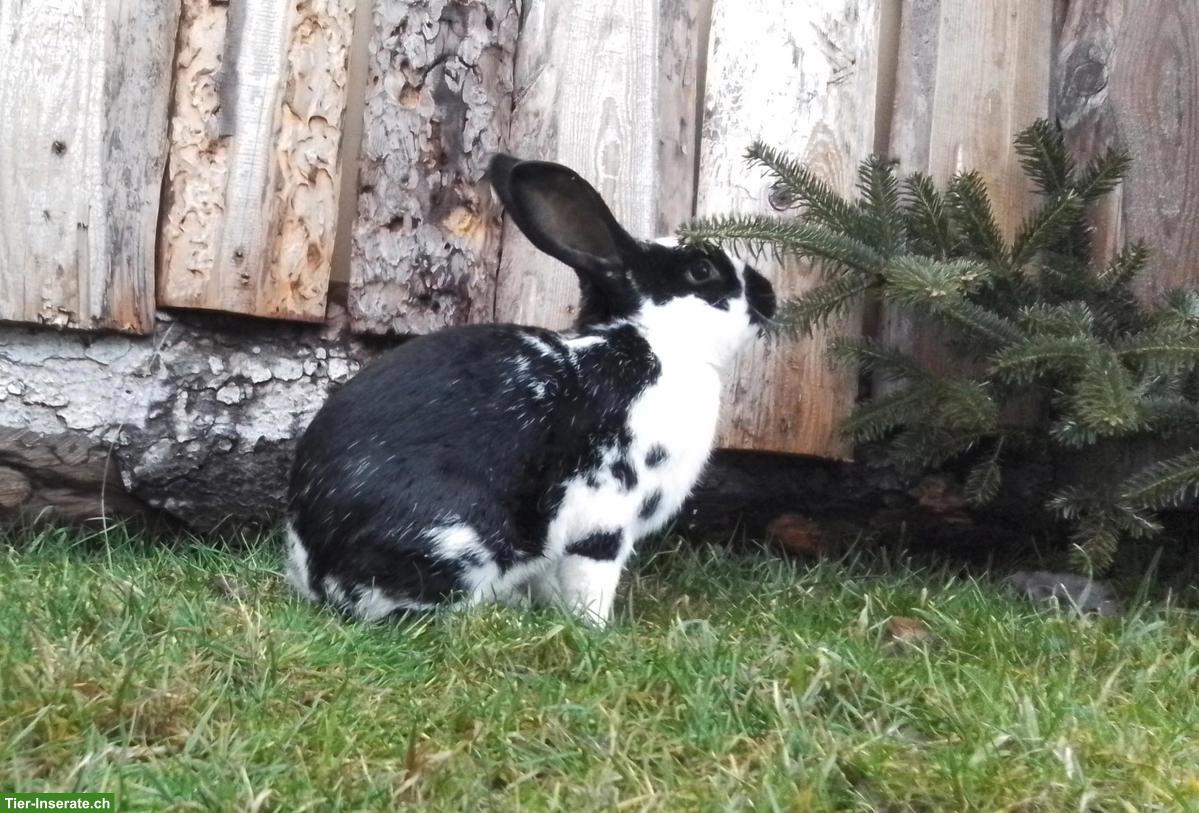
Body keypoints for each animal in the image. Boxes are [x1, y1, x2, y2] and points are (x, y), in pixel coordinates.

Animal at [285, 154, 776, 626]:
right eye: (701, 270)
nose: (770, 294)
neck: (656, 342)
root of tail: (319, 570)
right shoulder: (605, 515)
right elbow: (591, 575)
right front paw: (595, 629)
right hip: (459, 537)